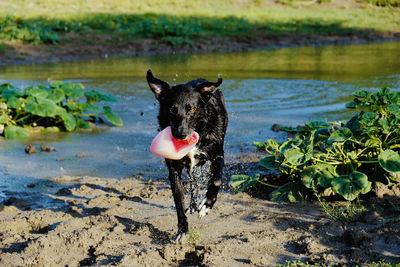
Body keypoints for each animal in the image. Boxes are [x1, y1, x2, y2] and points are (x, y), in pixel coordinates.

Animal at [147, 70, 228, 242]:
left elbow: (216, 180)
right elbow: (179, 202)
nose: (180, 135)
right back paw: (192, 205)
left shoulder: (218, 155)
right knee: (193, 182)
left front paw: (207, 205)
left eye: (191, 109)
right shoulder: (174, 170)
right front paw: (182, 230)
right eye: (172, 110)